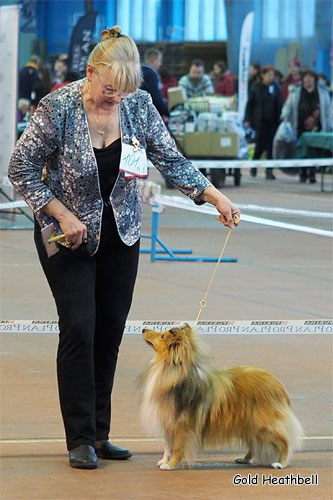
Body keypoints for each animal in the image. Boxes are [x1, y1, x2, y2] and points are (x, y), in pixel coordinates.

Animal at [139, 324, 302, 468]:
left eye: (162, 336)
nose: (143, 329)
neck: (171, 371)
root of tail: (278, 384)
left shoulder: (182, 424)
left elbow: (177, 447)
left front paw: (170, 465)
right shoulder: (167, 421)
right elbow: (168, 446)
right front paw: (164, 461)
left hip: (264, 425)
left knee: (285, 442)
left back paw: (281, 463)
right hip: (251, 424)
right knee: (254, 445)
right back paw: (244, 459)